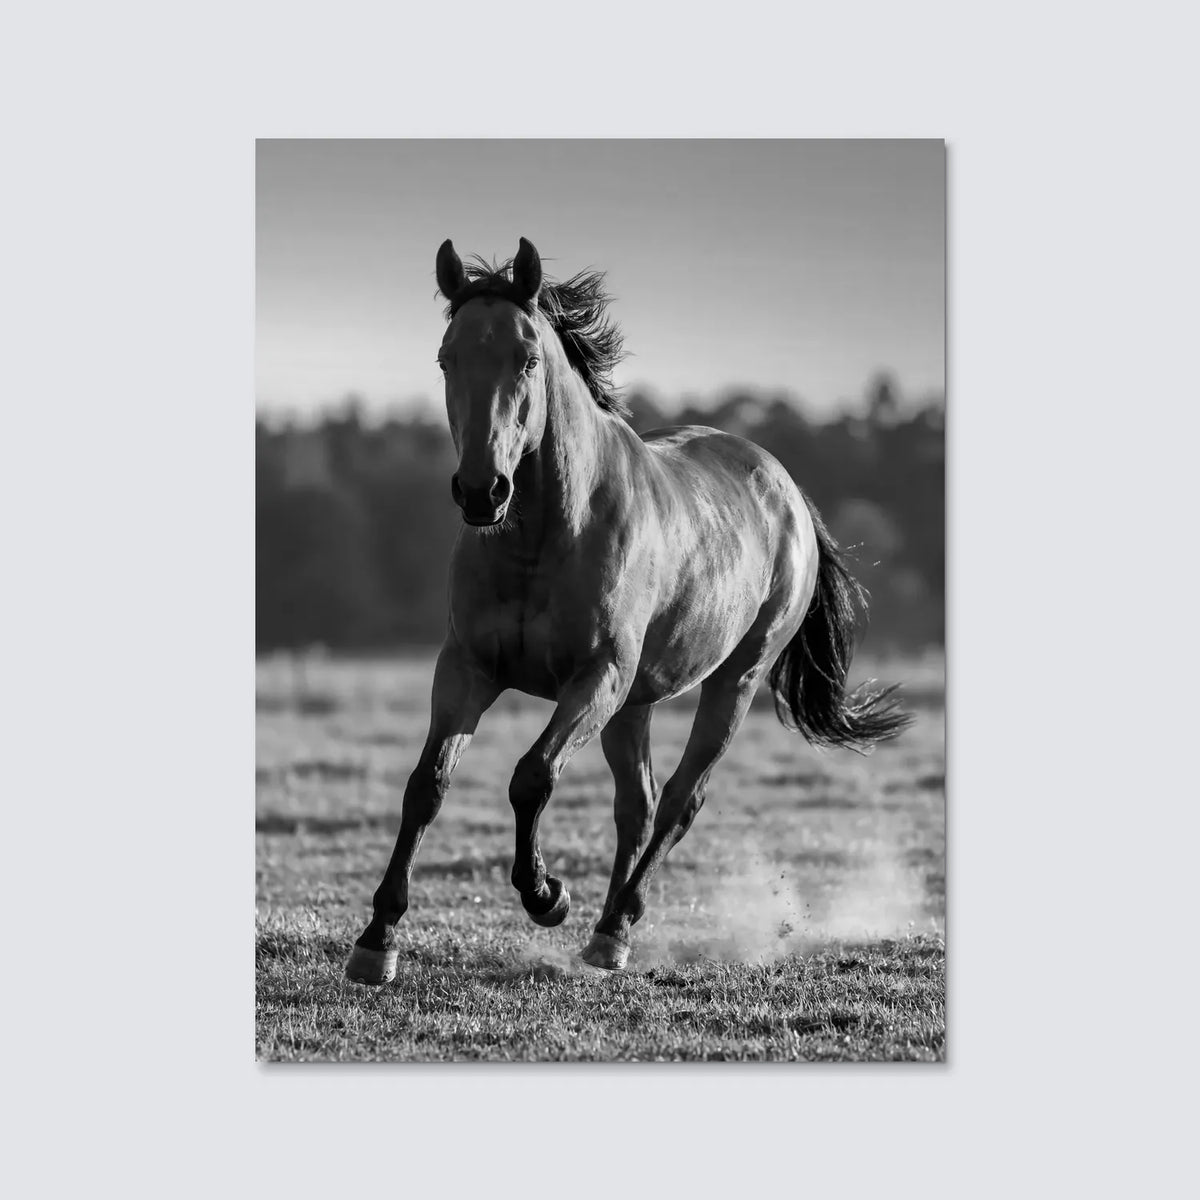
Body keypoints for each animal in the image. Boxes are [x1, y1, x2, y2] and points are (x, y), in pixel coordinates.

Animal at [346, 237, 910, 981]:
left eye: (527, 358)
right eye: (447, 358)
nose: (481, 491)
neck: (545, 536)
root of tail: (787, 492)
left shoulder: (597, 678)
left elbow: (532, 776)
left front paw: (546, 895)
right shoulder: (467, 669)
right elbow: (427, 785)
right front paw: (377, 939)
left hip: (732, 682)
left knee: (678, 800)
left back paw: (615, 922)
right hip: (636, 703)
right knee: (636, 806)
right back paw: (607, 934)